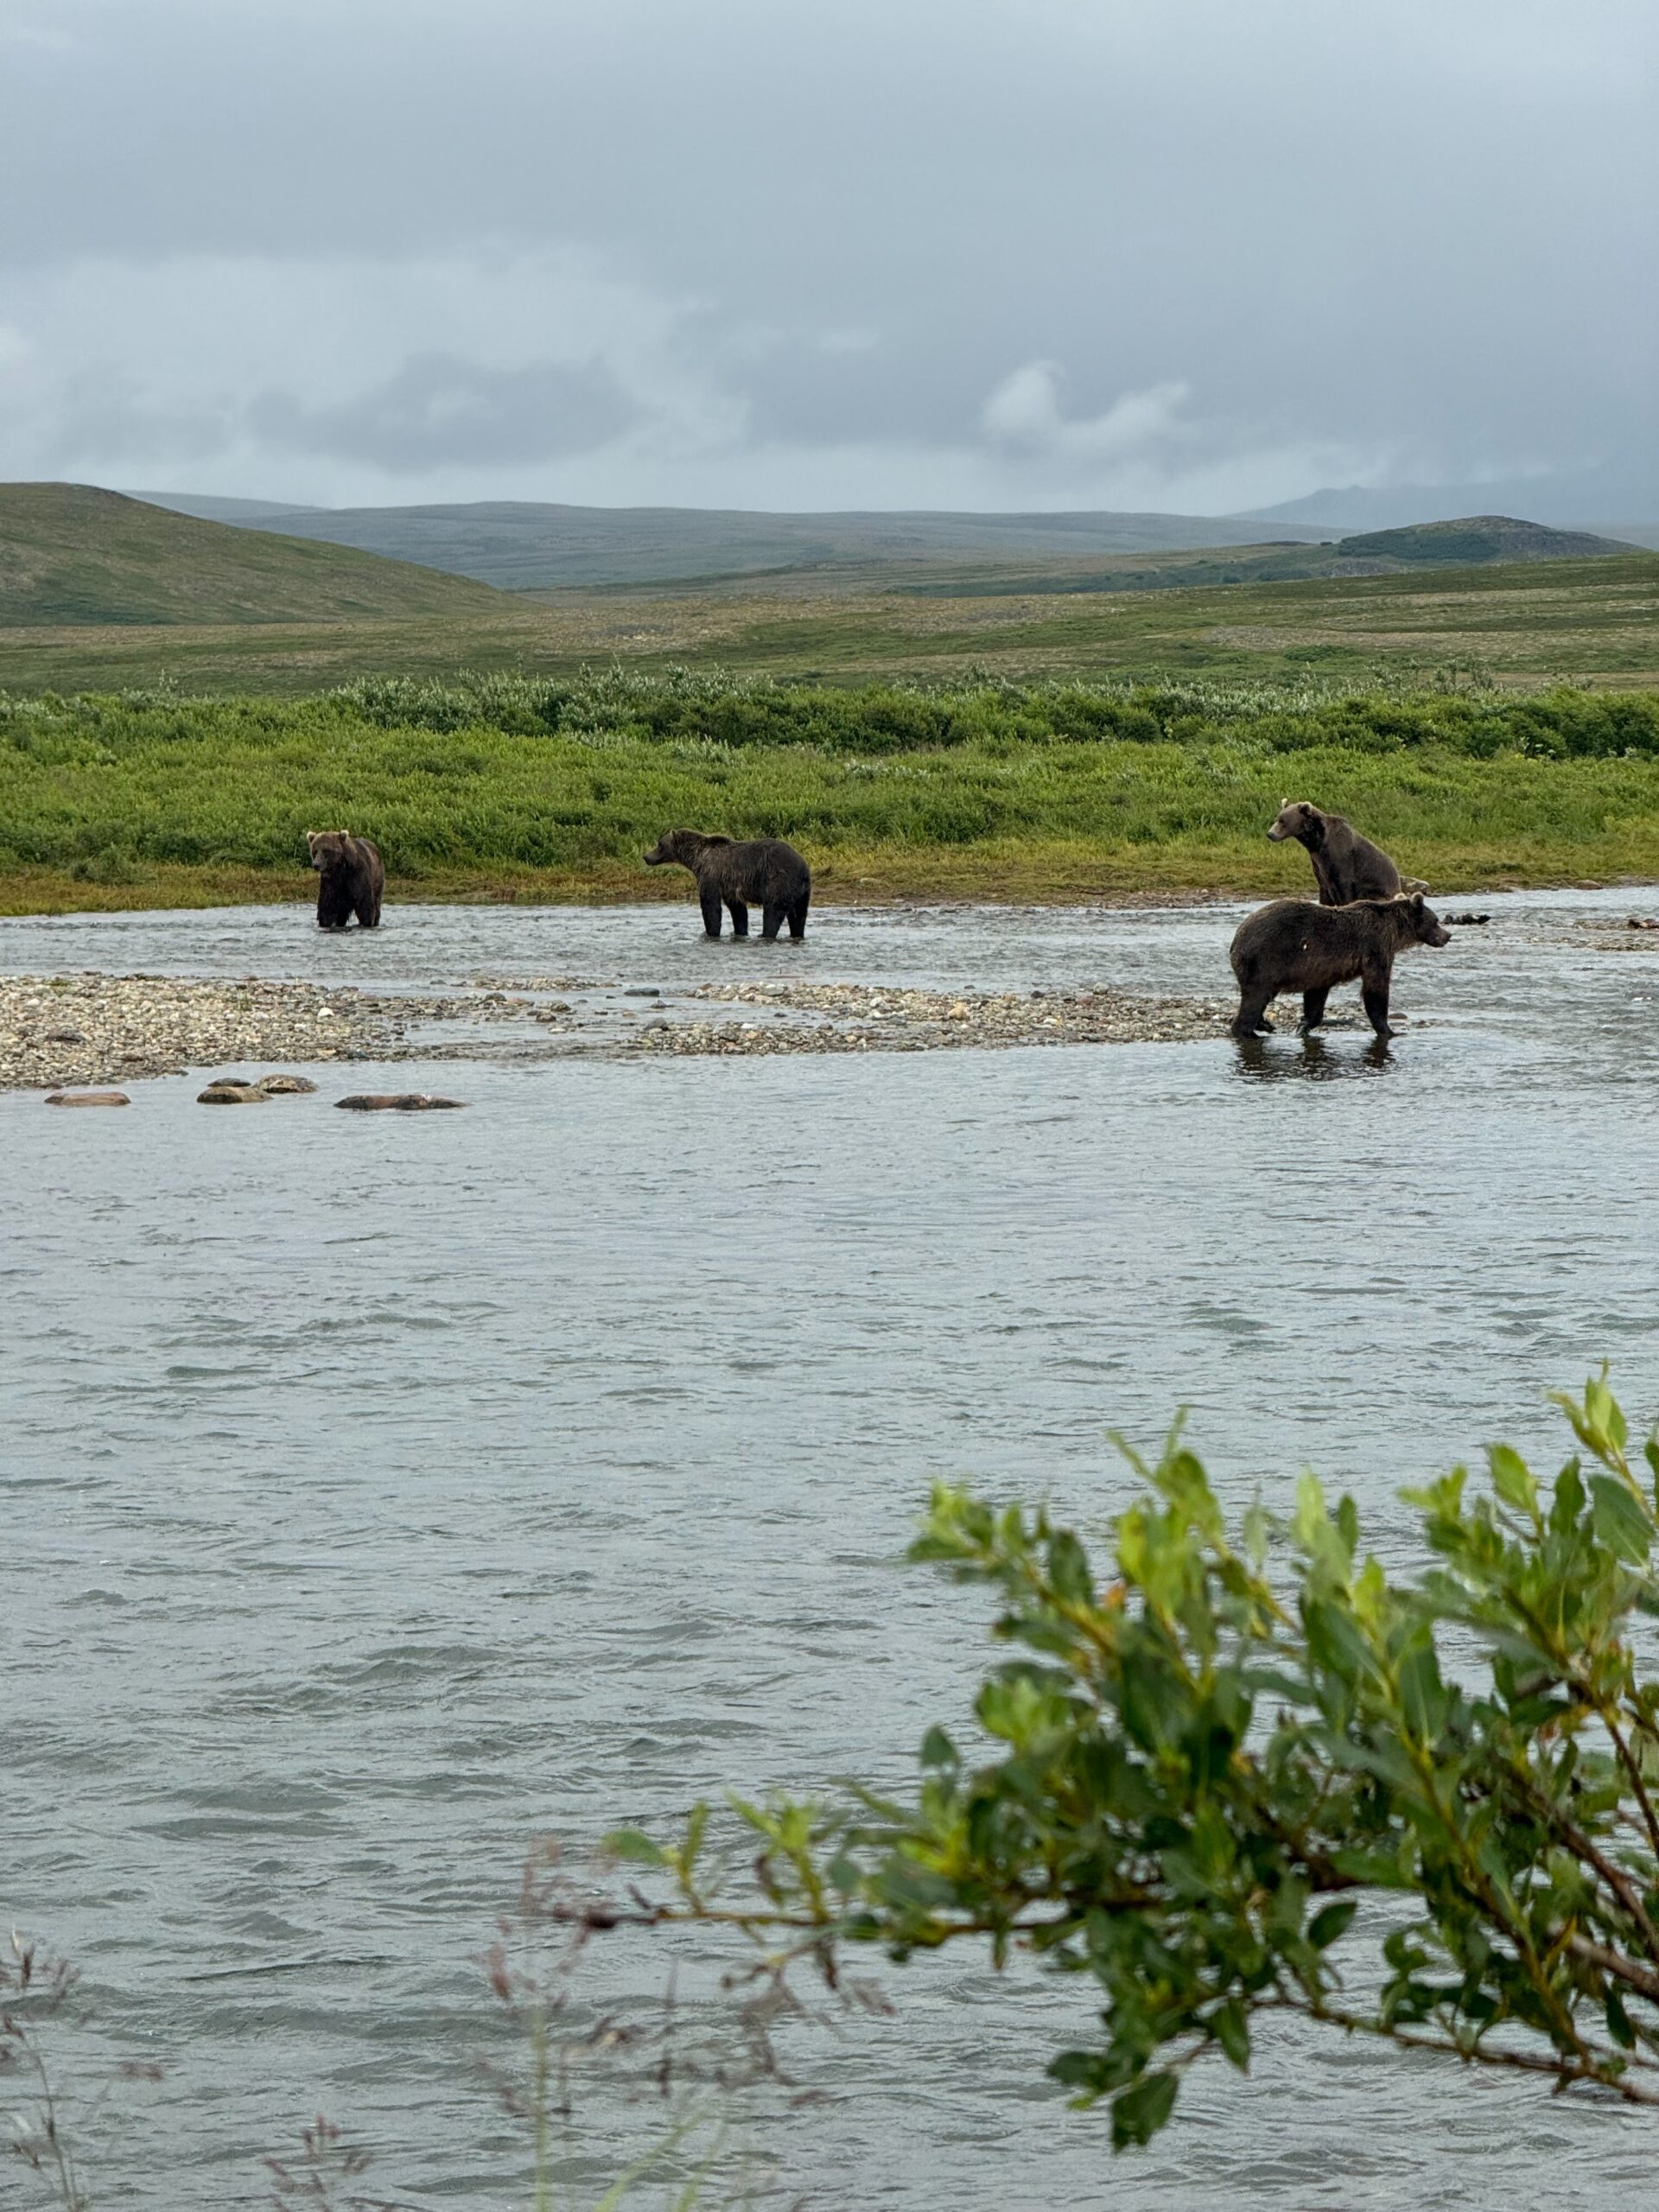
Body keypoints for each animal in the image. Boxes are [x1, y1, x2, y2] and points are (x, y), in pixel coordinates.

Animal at [641, 827, 814, 938]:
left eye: (660, 844)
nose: (646, 856)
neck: (697, 858)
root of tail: (803, 868)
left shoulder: (711, 874)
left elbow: (710, 905)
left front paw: (711, 932)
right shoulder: (729, 885)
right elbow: (738, 910)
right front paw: (740, 932)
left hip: (778, 881)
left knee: (773, 911)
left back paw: (765, 934)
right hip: (802, 892)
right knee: (799, 916)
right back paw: (797, 934)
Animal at [1238, 889, 1451, 1035]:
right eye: (1436, 920)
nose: (1448, 935)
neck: (1394, 932)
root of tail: (1237, 938)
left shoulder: (1319, 967)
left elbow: (1316, 996)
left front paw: (1304, 1025)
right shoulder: (1375, 949)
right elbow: (1376, 989)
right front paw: (1389, 1030)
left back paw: (1264, 1024)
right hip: (1266, 961)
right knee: (1255, 999)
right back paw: (1247, 1030)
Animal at [1265, 800, 1407, 902]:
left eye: (1283, 821)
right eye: (1277, 819)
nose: (1270, 834)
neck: (1317, 843)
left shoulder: (1341, 858)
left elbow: (1344, 888)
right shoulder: (1319, 865)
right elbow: (1324, 891)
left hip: (1378, 891)